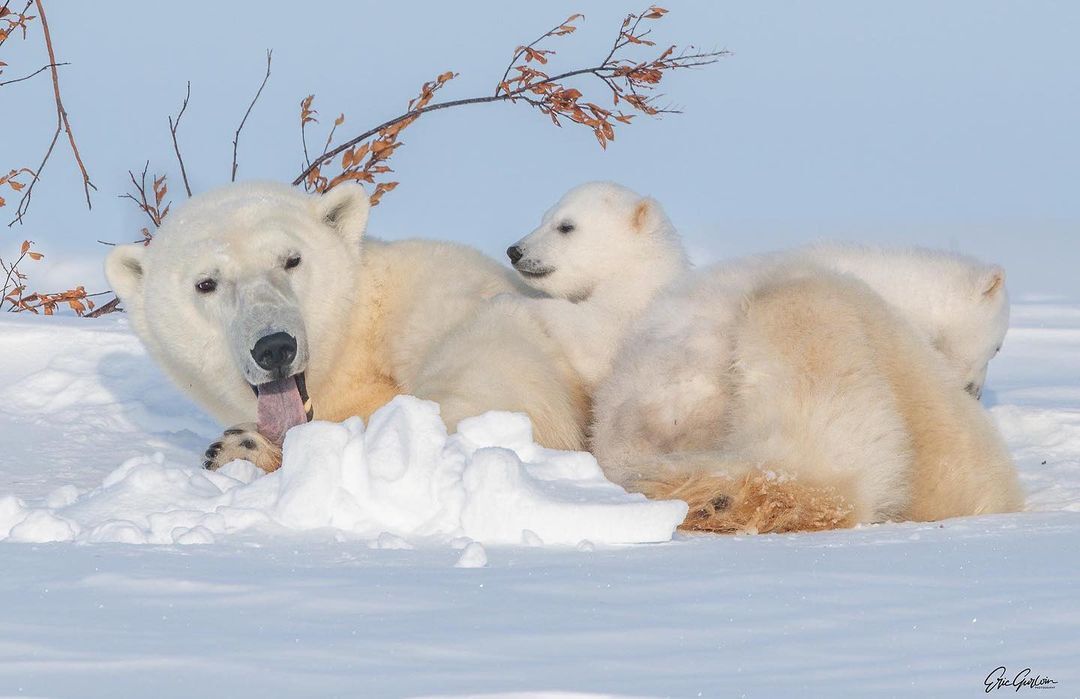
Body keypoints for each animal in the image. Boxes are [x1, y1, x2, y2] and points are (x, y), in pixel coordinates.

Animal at [105, 183, 587, 473]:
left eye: (292, 259)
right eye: (206, 283)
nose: (274, 347)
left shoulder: (446, 302)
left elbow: (492, 396)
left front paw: (242, 445)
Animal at [503, 183, 686, 391]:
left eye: (565, 226)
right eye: (544, 219)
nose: (514, 251)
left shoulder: (627, 315)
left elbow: (591, 336)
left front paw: (509, 299)